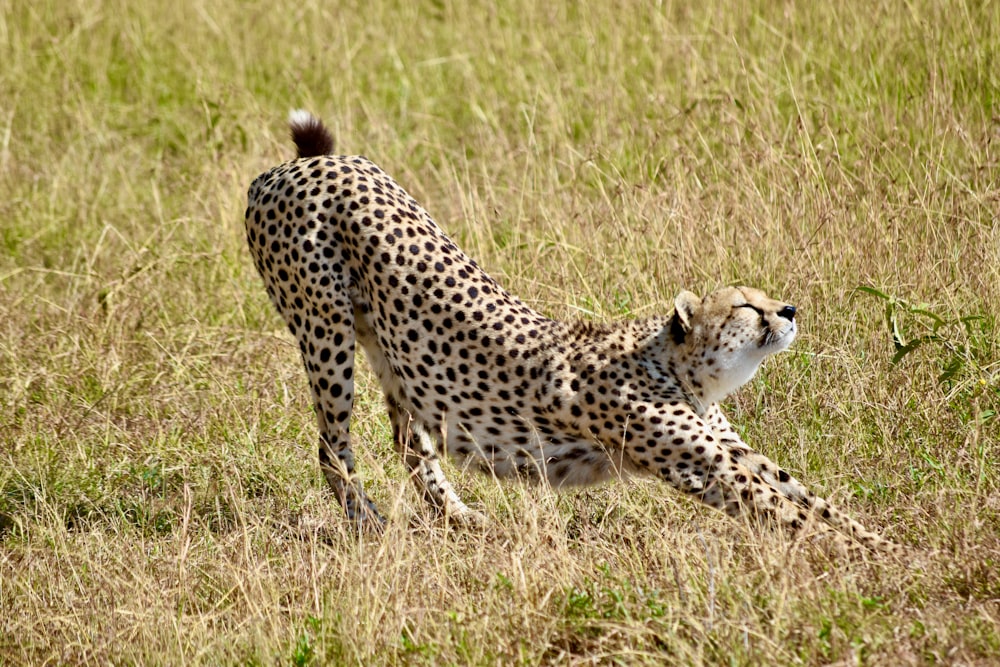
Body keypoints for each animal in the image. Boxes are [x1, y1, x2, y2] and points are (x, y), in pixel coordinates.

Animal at [242, 112, 900, 556]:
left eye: (763, 295)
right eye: (745, 305)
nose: (788, 310)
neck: (679, 367)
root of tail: (305, 163)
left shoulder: (732, 449)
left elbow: (811, 498)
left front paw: (884, 545)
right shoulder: (704, 467)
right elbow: (788, 514)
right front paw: (868, 565)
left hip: (391, 347)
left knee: (412, 441)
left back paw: (460, 519)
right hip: (325, 331)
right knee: (333, 449)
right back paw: (372, 527)